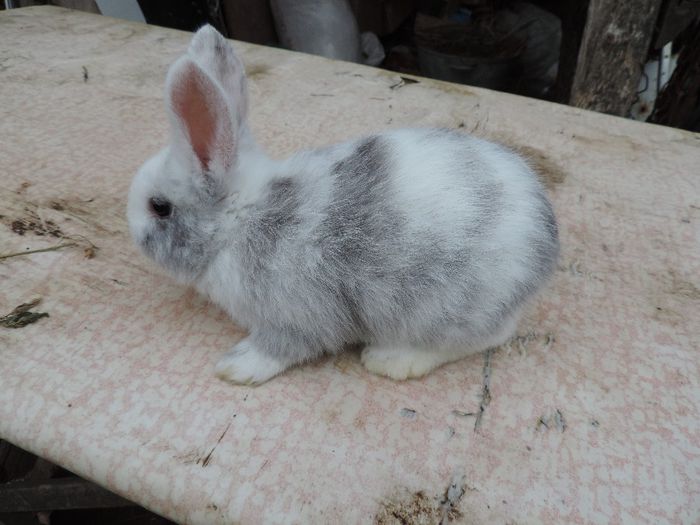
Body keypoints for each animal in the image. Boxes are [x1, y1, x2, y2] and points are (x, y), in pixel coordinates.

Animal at [129, 25, 560, 384]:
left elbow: (281, 347)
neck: (241, 219)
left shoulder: (297, 314)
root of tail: (546, 241)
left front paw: (236, 367)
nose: (130, 228)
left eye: (159, 207)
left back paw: (393, 360)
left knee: (485, 337)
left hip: (446, 309)